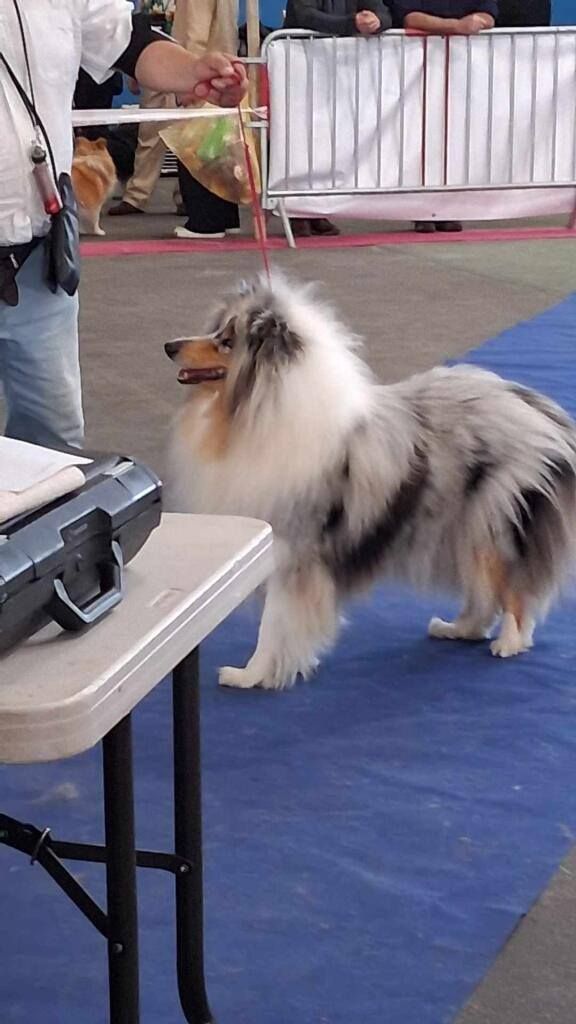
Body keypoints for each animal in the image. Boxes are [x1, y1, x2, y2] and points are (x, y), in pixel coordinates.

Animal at [165, 274, 576, 690]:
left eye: (227, 341)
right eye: (217, 331)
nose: (169, 346)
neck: (260, 412)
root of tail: (542, 411)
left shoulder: (292, 551)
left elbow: (273, 625)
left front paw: (250, 675)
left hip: (492, 523)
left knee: (511, 589)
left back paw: (509, 643)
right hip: (462, 529)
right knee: (483, 593)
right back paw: (456, 628)